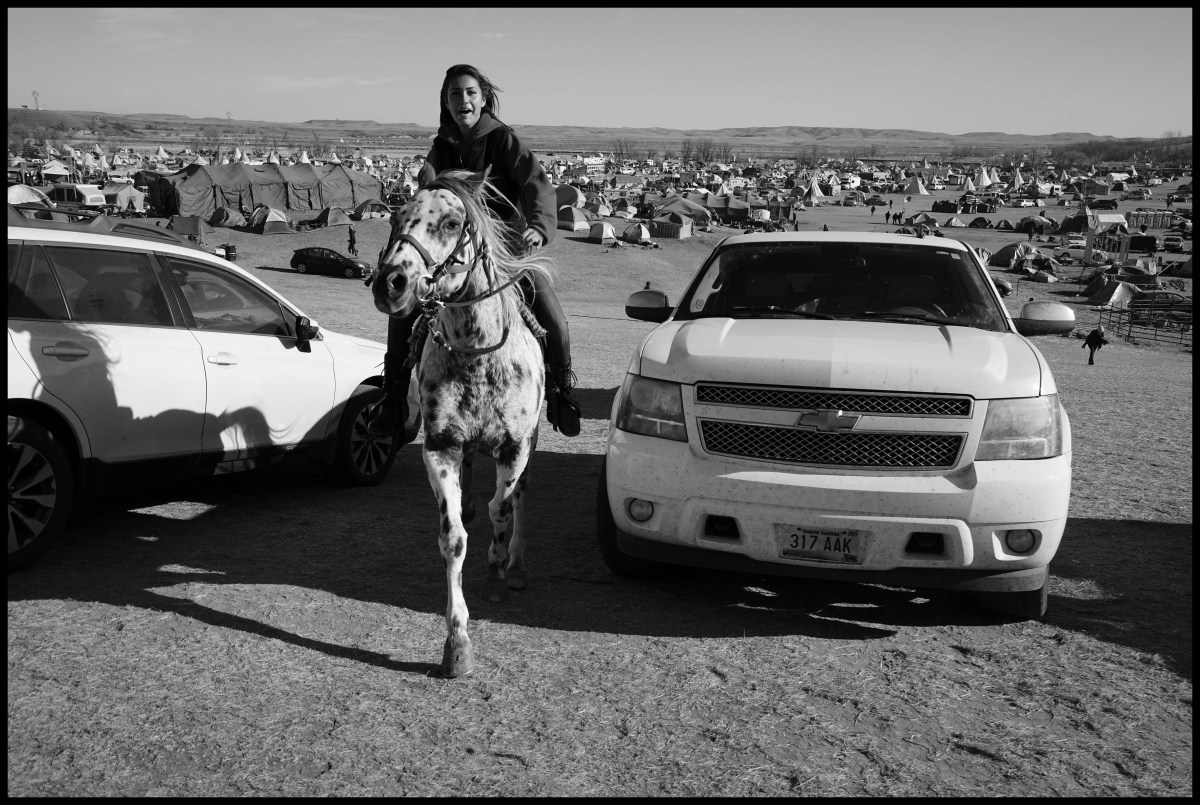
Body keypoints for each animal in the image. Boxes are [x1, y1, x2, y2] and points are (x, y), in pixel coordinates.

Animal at [369, 171, 552, 681]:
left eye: (451, 223)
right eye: (395, 216)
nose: (391, 283)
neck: (477, 355)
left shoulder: (514, 447)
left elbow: (503, 511)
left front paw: (496, 573)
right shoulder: (442, 447)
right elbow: (452, 538)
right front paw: (457, 644)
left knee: (522, 497)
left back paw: (519, 564)